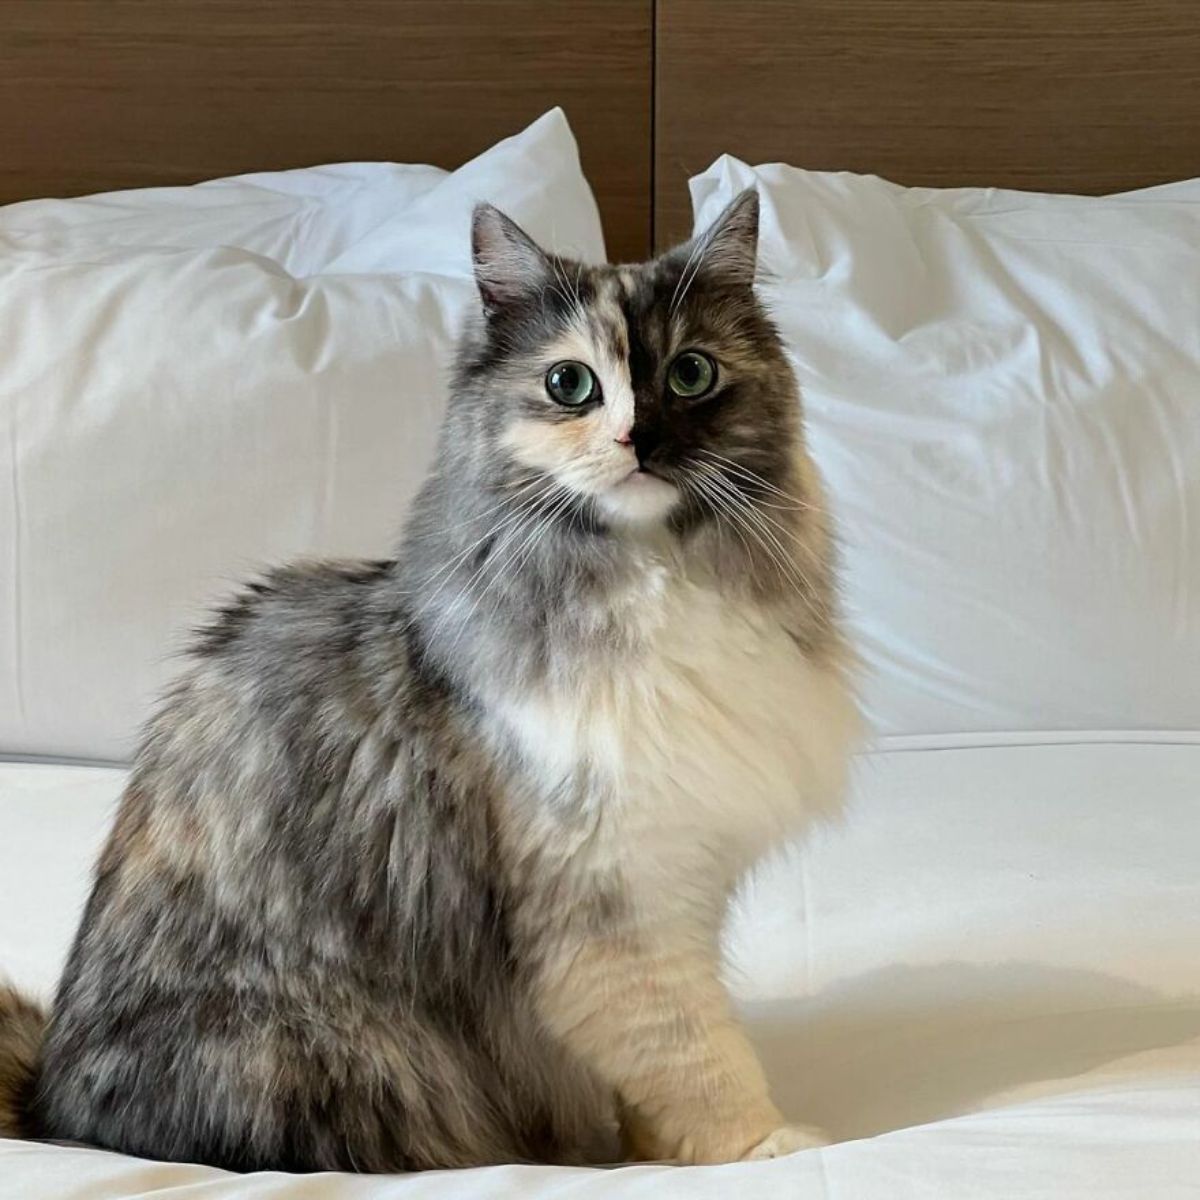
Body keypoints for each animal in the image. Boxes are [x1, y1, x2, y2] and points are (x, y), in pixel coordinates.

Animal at [0, 189, 859, 1171]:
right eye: (570, 386)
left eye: (690, 375)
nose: (637, 437)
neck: (654, 576)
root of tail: (50, 1098)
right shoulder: (615, 903)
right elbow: (696, 1054)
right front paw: (763, 1147)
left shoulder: (684, 878)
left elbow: (653, 1078)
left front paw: (651, 1153)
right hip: (354, 1057)